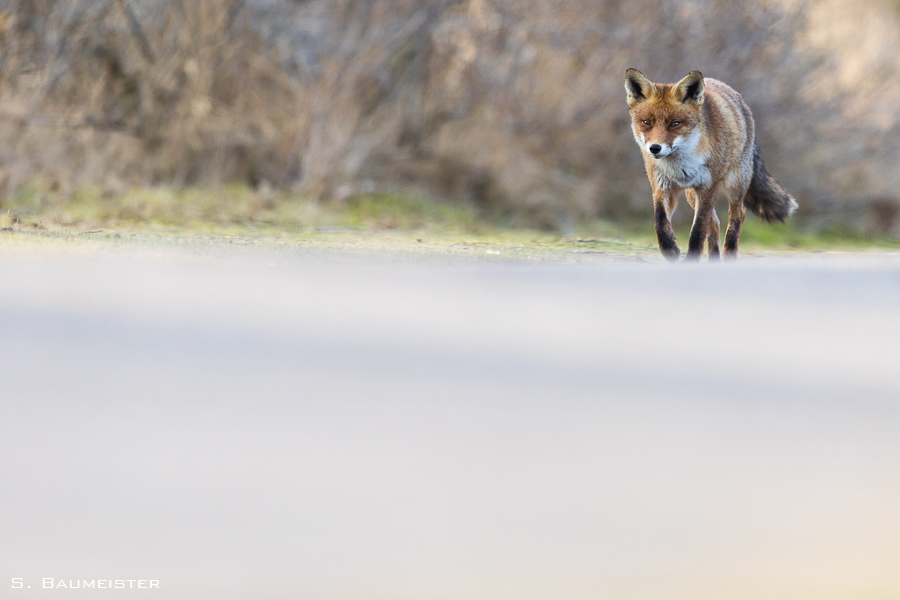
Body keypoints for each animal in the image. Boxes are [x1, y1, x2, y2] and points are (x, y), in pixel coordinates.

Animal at [624, 68, 800, 260]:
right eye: (646, 122)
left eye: (675, 124)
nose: (655, 148)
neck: (679, 166)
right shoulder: (662, 187)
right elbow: (660, 222)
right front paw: (670, 249)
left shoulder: (708, 187)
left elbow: (698, 230)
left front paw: (690, 259)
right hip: (691, 195)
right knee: (715, 222)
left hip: (735, 184)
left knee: (738, 214)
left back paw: (729, 253)